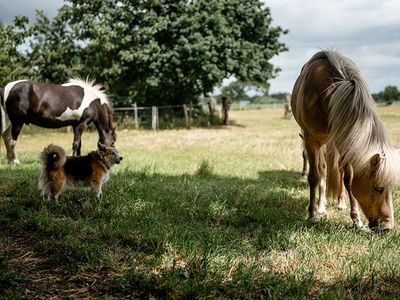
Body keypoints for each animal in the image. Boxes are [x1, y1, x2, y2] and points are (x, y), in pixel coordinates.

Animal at [290, 50, 400, 231]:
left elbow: (348, 178)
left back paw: (340, 203)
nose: (387, 227)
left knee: (338, 171)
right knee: (322, 169)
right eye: (378, 188)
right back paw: (321, 206)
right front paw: (312, 214)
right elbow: (315, 176)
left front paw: (356, 220)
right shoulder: (311, 140)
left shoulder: (347, 141)